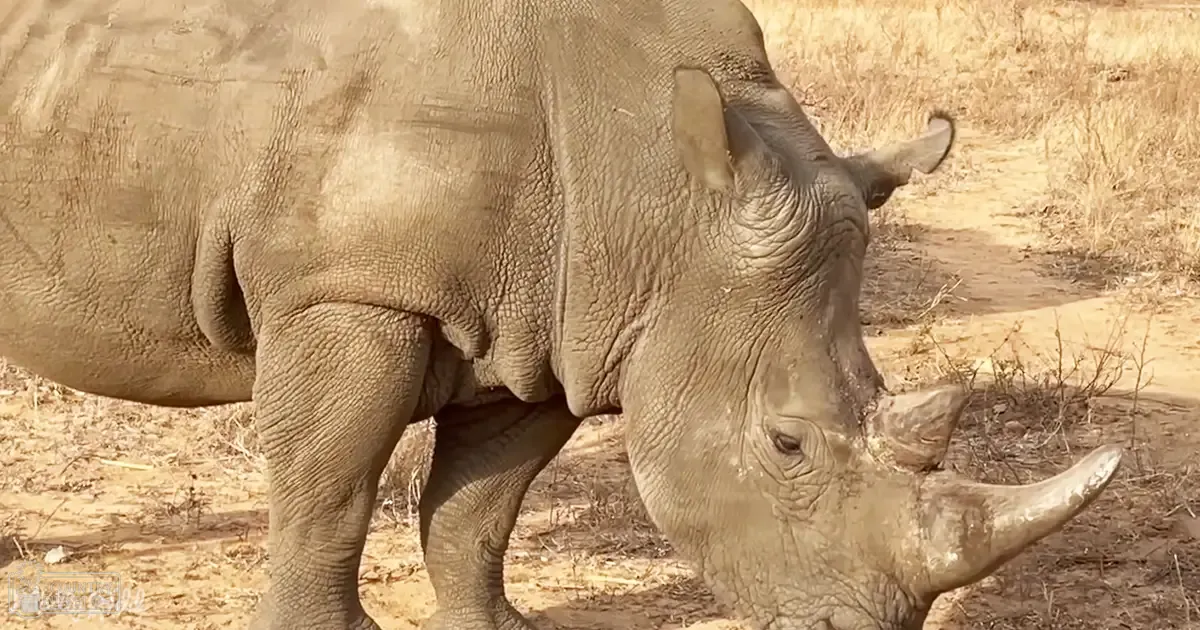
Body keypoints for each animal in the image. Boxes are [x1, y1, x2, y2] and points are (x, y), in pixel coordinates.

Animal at [0, 0, 1122, 629]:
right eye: (786, 444)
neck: (660, 191)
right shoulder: (353, 288)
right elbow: (329, 488)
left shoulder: (560, 321)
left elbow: (480, 505)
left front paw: (500, 629)